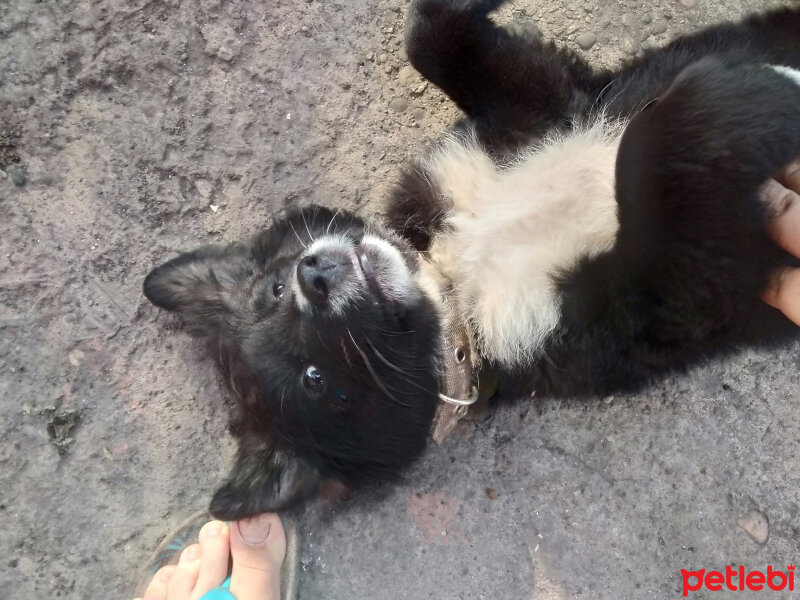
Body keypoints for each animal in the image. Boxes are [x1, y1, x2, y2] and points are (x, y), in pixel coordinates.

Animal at [142, 0, 800, 516]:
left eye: (275, 290)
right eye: (317, 381)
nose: (314, 276)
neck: (459, 270)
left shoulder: (541, 107)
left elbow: (430, 36)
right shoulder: (649, 303)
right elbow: (655, 161)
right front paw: (762, 95)